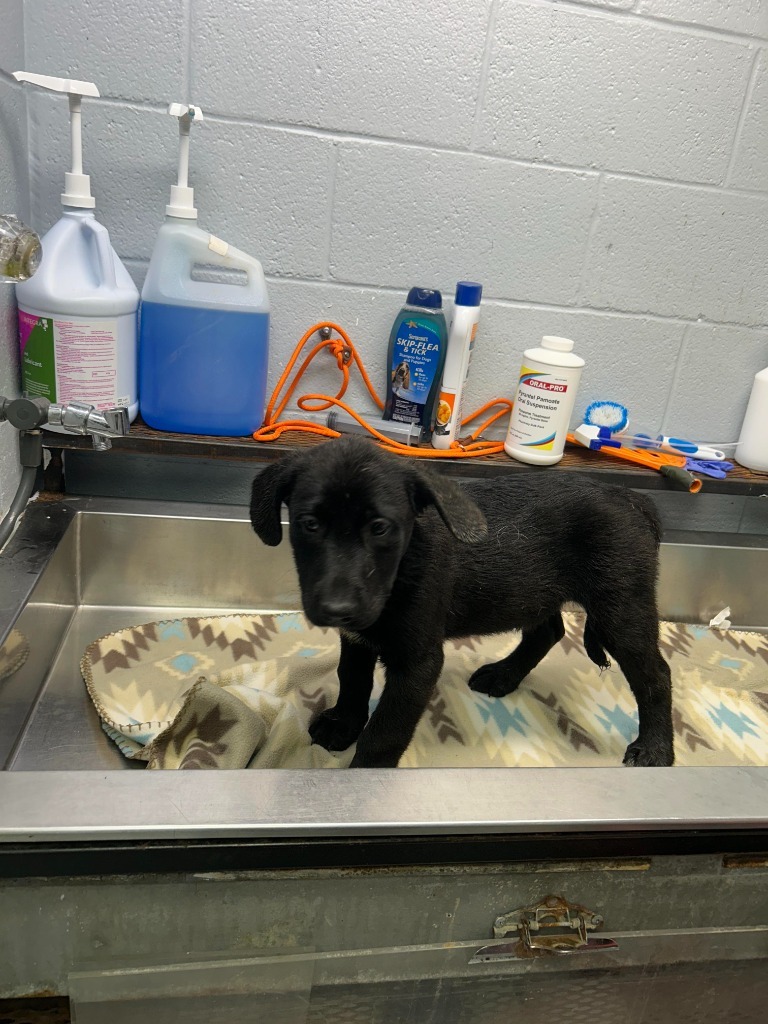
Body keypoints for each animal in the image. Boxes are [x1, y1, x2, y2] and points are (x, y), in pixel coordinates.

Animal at [252, 438, 671, 770]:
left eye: (380, 528)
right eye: (309, 524)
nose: (337, 609)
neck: (403, 565)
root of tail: (632, 498)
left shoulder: (418, 664)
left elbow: (384, 732)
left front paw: (362, 782)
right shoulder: (357, 641)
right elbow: (352, 680)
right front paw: (343, 724)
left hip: (621, 607)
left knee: (656, 675)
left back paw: (656, 750)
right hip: (533, 590)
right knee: (548, 631)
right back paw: (504, 675)